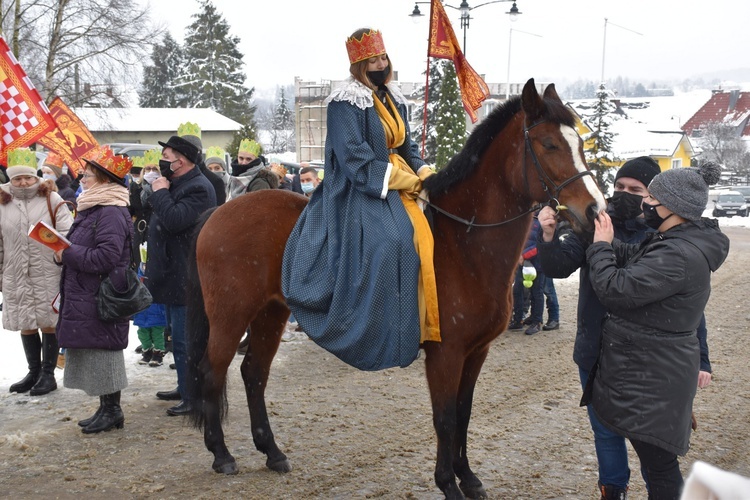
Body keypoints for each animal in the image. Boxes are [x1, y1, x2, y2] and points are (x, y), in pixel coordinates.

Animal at [185, 79, 608, 500]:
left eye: (580, 144)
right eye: (549, 144)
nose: (595, 211)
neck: (465, 242)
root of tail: (220, 211)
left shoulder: (476, 351)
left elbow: (464, 413)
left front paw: (468, 477)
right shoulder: (446, 354)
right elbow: (445, 418)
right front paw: (448, 483)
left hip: (270, 314)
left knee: (253, 373)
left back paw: (271, 451)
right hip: (230, 316)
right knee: (212, 371)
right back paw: (221, 454)